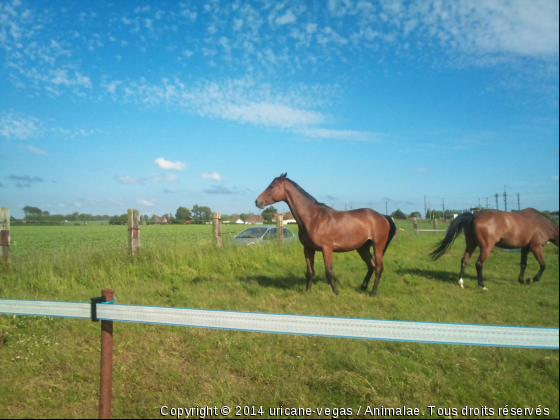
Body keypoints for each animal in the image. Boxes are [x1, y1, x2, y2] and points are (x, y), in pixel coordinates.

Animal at [256, 173, 396, 296]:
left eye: (271, 186)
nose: (257, 202)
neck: (313, 218)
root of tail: (383, 216)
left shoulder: (327, 248)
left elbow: (328, 271)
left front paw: (336, 292)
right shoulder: (308, 249)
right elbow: (310, 272)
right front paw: (307, 291)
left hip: (378, 245)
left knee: (378, 267)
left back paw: (373, 292)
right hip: (362, 247)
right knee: (371, 265)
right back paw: (363, 287)